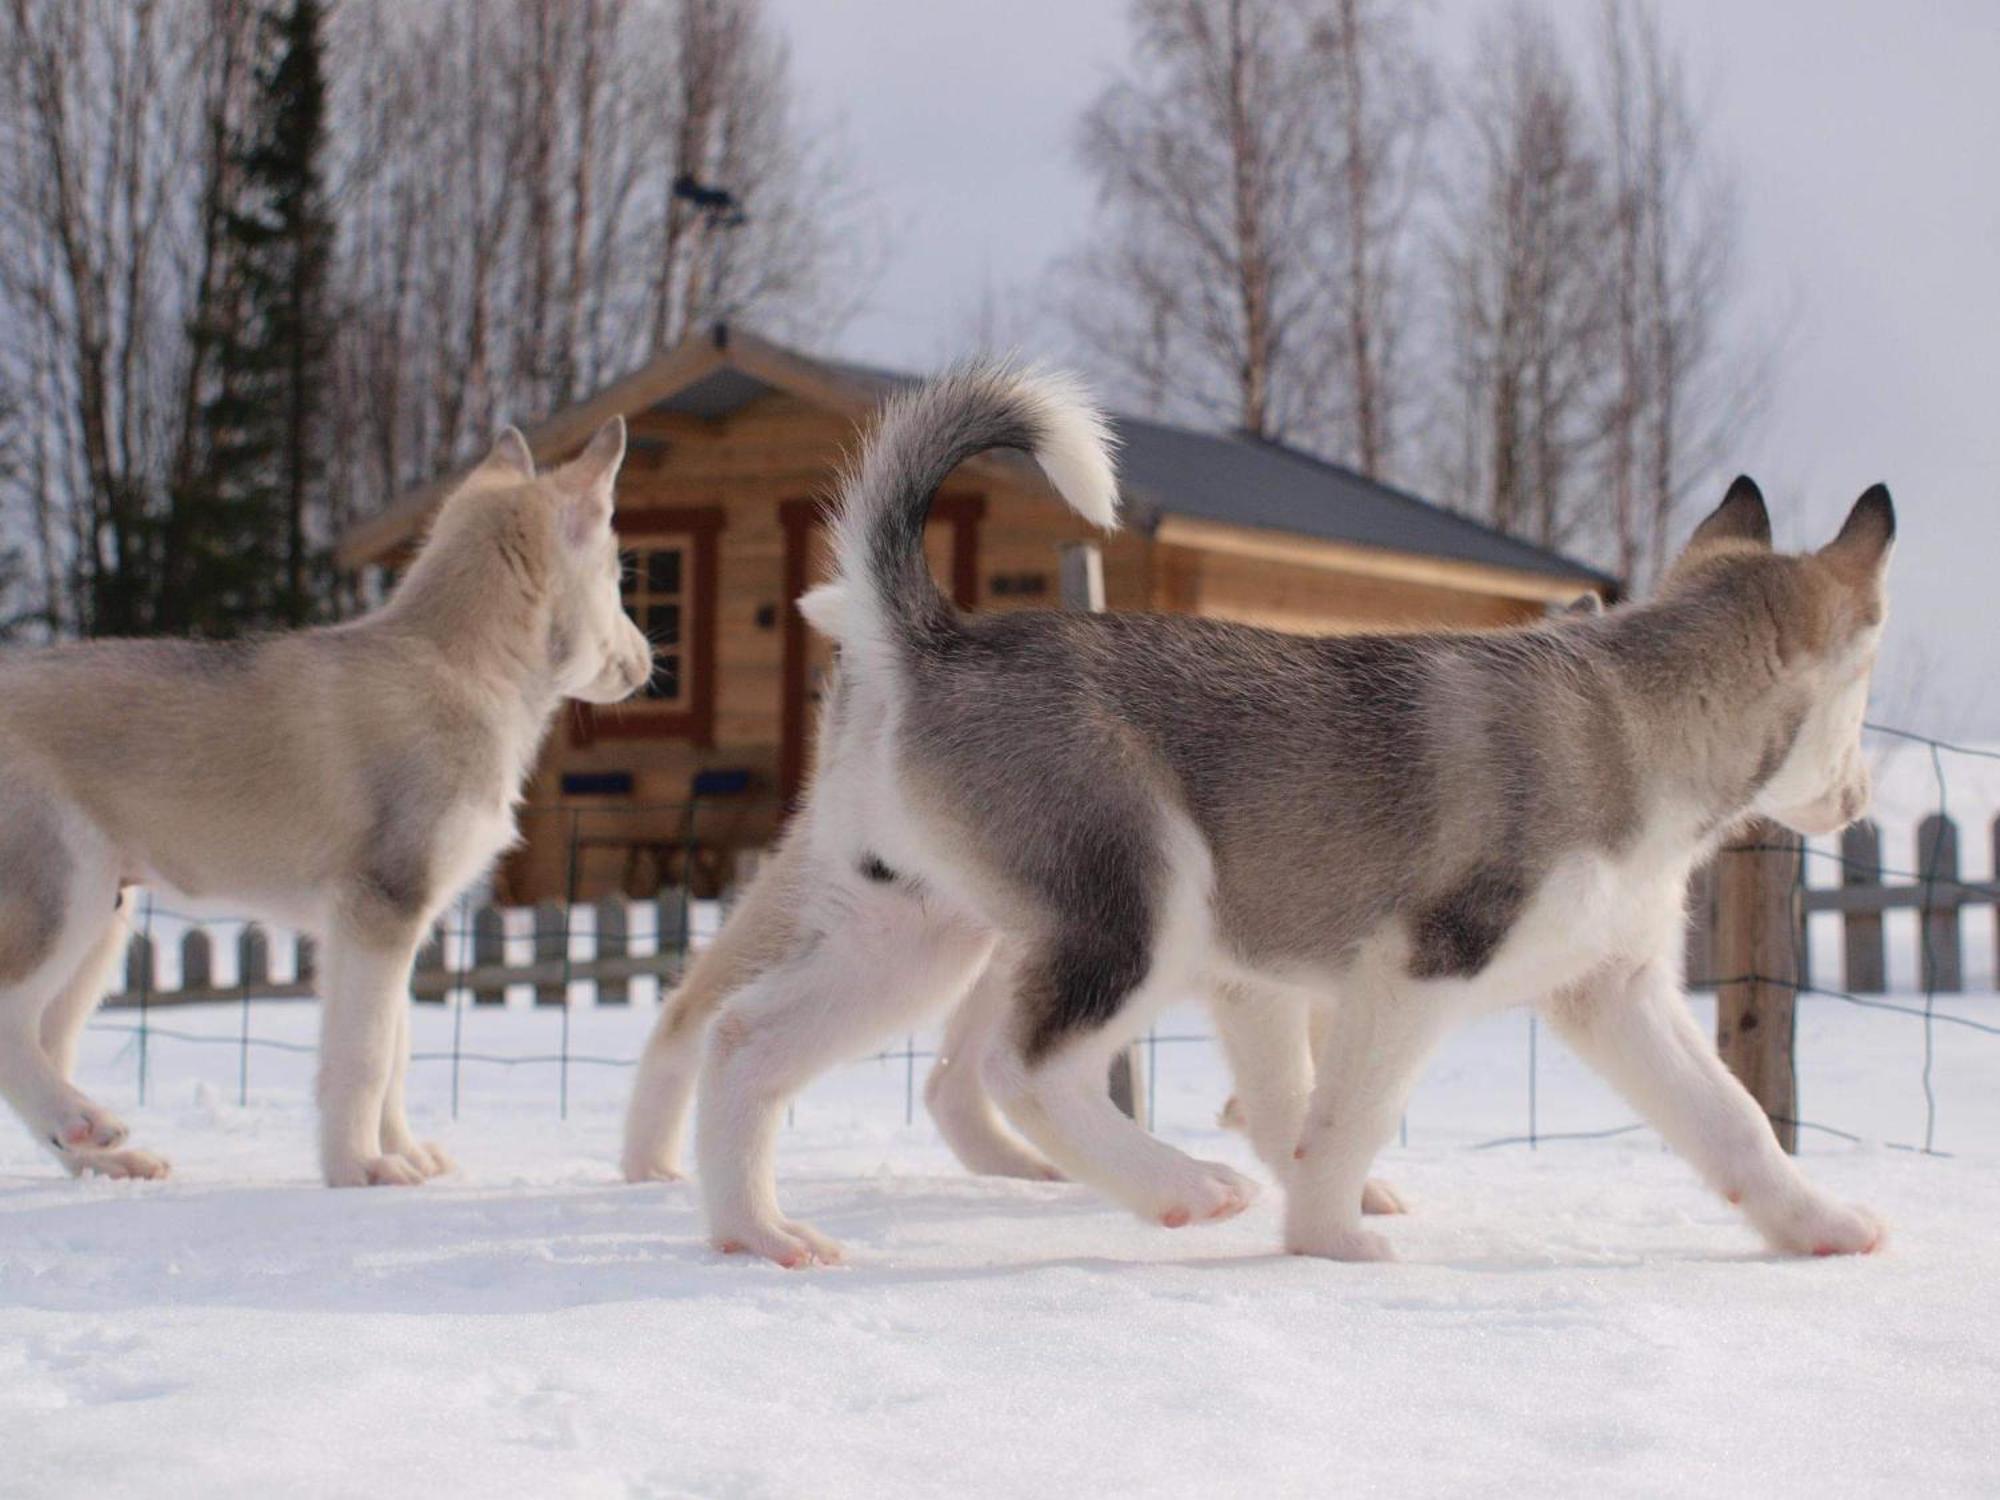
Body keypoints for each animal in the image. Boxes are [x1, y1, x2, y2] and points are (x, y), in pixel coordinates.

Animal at [0, 420, 648, 1184]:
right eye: (618, 579)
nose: (648, 663)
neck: (462, 666)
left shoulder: (380, 927)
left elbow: (391, 1052)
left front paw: (401, 1154)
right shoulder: (381, 911)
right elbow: (365, 1058)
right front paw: (360, 1169)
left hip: (104, 918)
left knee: (46, 1038)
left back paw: (103, 1158)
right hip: (64, 896)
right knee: (9, 1023)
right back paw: (85, 1120)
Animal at [680, 364, 1896, 1272]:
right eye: (1862, 699)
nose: (1861, 797)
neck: (1633, 715)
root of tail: (933, 638)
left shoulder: (1613, 992)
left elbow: (1732, 1119)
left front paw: (1817, 1225)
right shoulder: (1414, 969)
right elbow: (1340, 1118)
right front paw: (1329, 1241)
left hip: (913, 937)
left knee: (744, 1041)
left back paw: (759, 1232)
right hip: (1142, 911)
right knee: (1019, 1073)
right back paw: (1181, 1188)